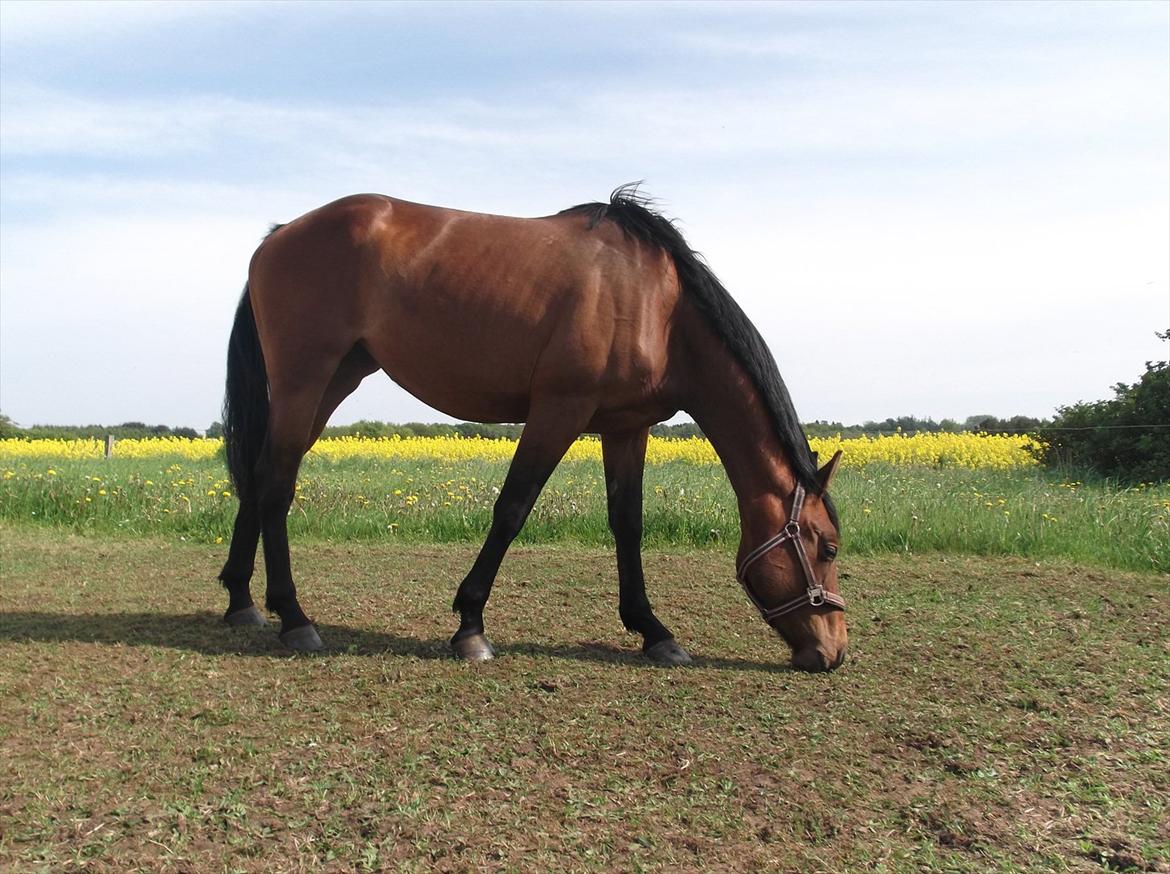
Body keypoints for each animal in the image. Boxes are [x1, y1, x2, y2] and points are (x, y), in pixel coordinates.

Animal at [215, 188, 847, 673]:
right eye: (829, 546)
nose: (834, 652)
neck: (660, 307)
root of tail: (279, 235)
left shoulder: (626, 427)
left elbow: (628, 523)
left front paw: (653, 630)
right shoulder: (558, 411)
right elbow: (513, 508)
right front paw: (471, 626)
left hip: (335, 378)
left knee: (263, 475)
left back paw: (242, 601)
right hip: (305, 379)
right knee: (276, 485)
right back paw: (294, 617)